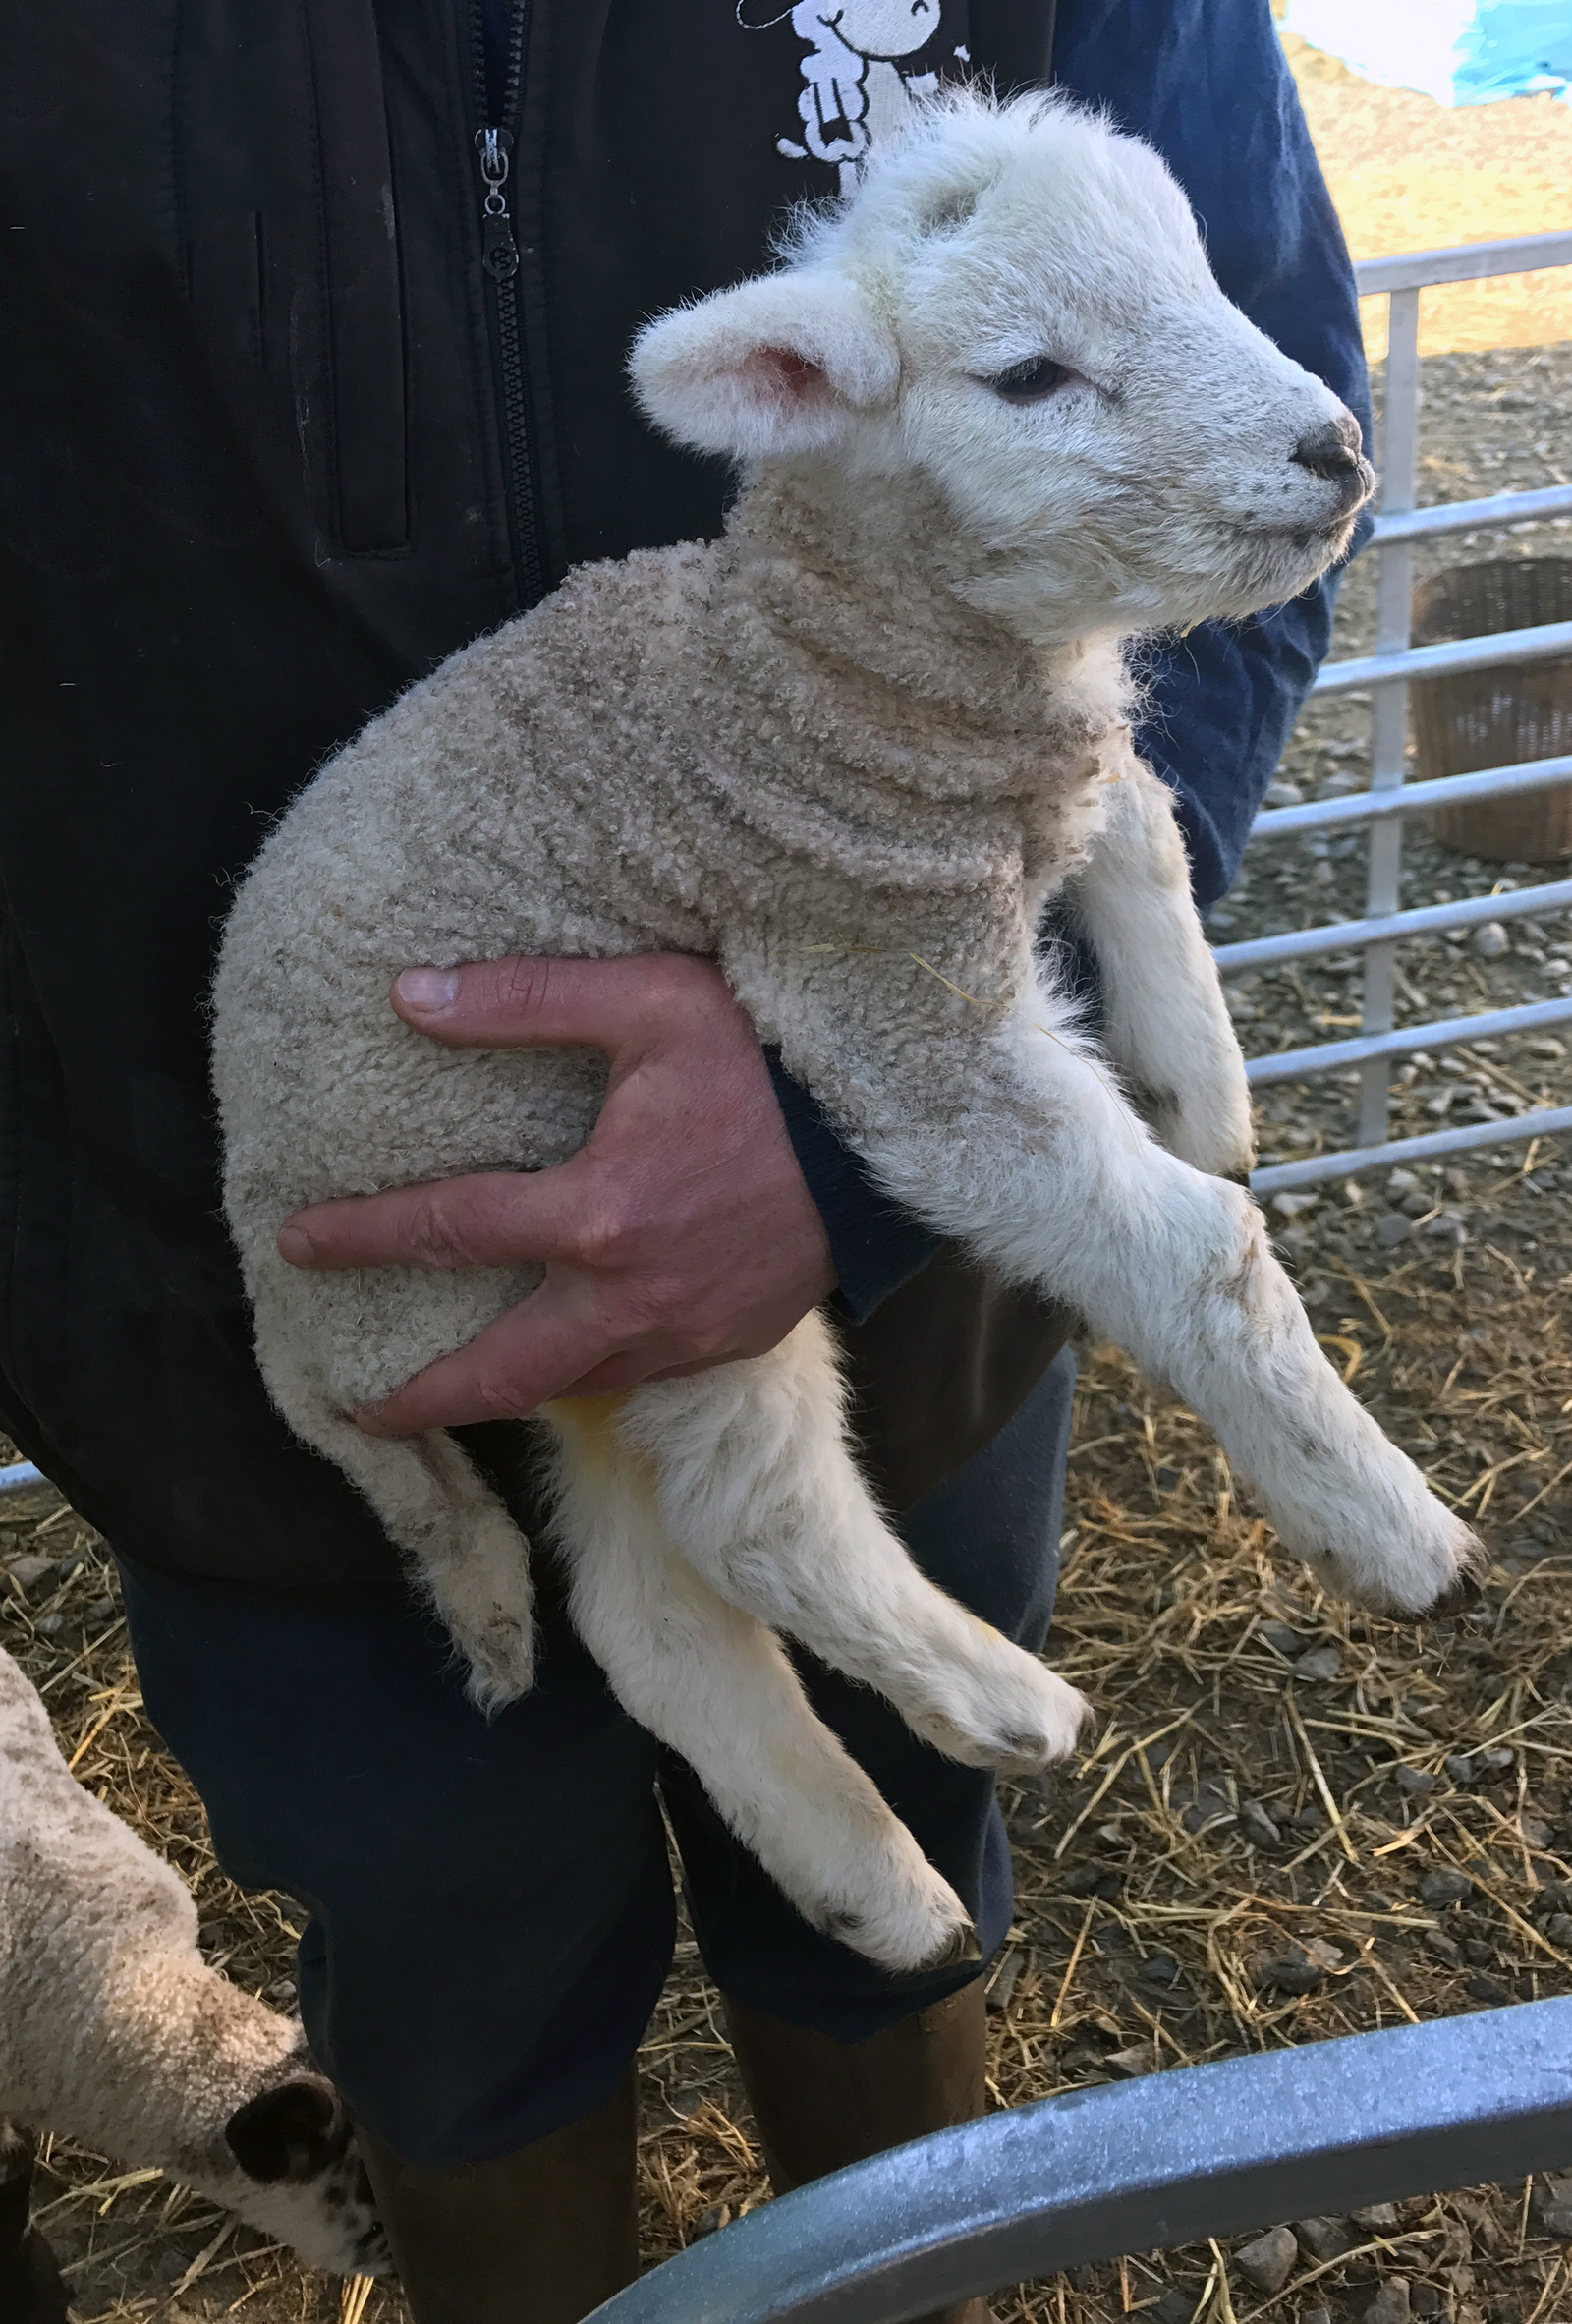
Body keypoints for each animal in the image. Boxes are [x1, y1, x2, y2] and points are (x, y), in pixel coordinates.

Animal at [214, 90, 1477, 1979]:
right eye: (1030, 377)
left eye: (1201, 271)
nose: (1332, 447)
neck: (825, 658)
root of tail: (295, 1351)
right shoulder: (875, 980)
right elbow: (1197, 1257)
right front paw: (1391, 1531)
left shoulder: (1013, 788)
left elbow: (1136, 812)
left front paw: (1200, 1079)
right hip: (604, 1234)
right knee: (754, 1517)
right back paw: (1007, 1705)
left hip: (588, 1339)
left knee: (646, 1612)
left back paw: (874, 1882)